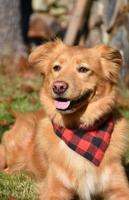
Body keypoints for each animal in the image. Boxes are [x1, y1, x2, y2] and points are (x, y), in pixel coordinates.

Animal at [0, 39, 129, 199]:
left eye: (83, 69)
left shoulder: (120, 188)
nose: (58, 86)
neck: (79, 130)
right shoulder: (55, 189)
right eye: (56, 67)